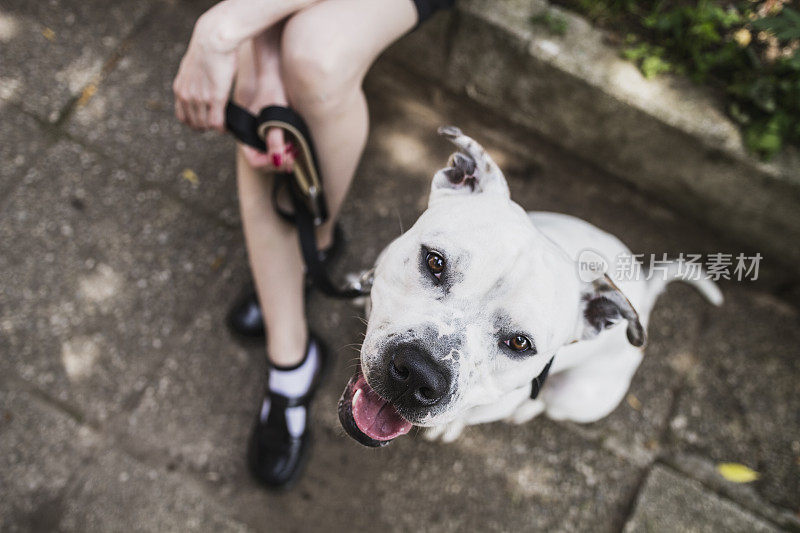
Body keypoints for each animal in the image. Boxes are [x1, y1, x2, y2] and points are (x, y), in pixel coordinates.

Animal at [334, 128, 720, 444]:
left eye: (519, 343)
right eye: (434, 262)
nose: (418, 375)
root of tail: (646, 292)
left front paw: (452, 426)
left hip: (576, 397)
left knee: (548, 405)